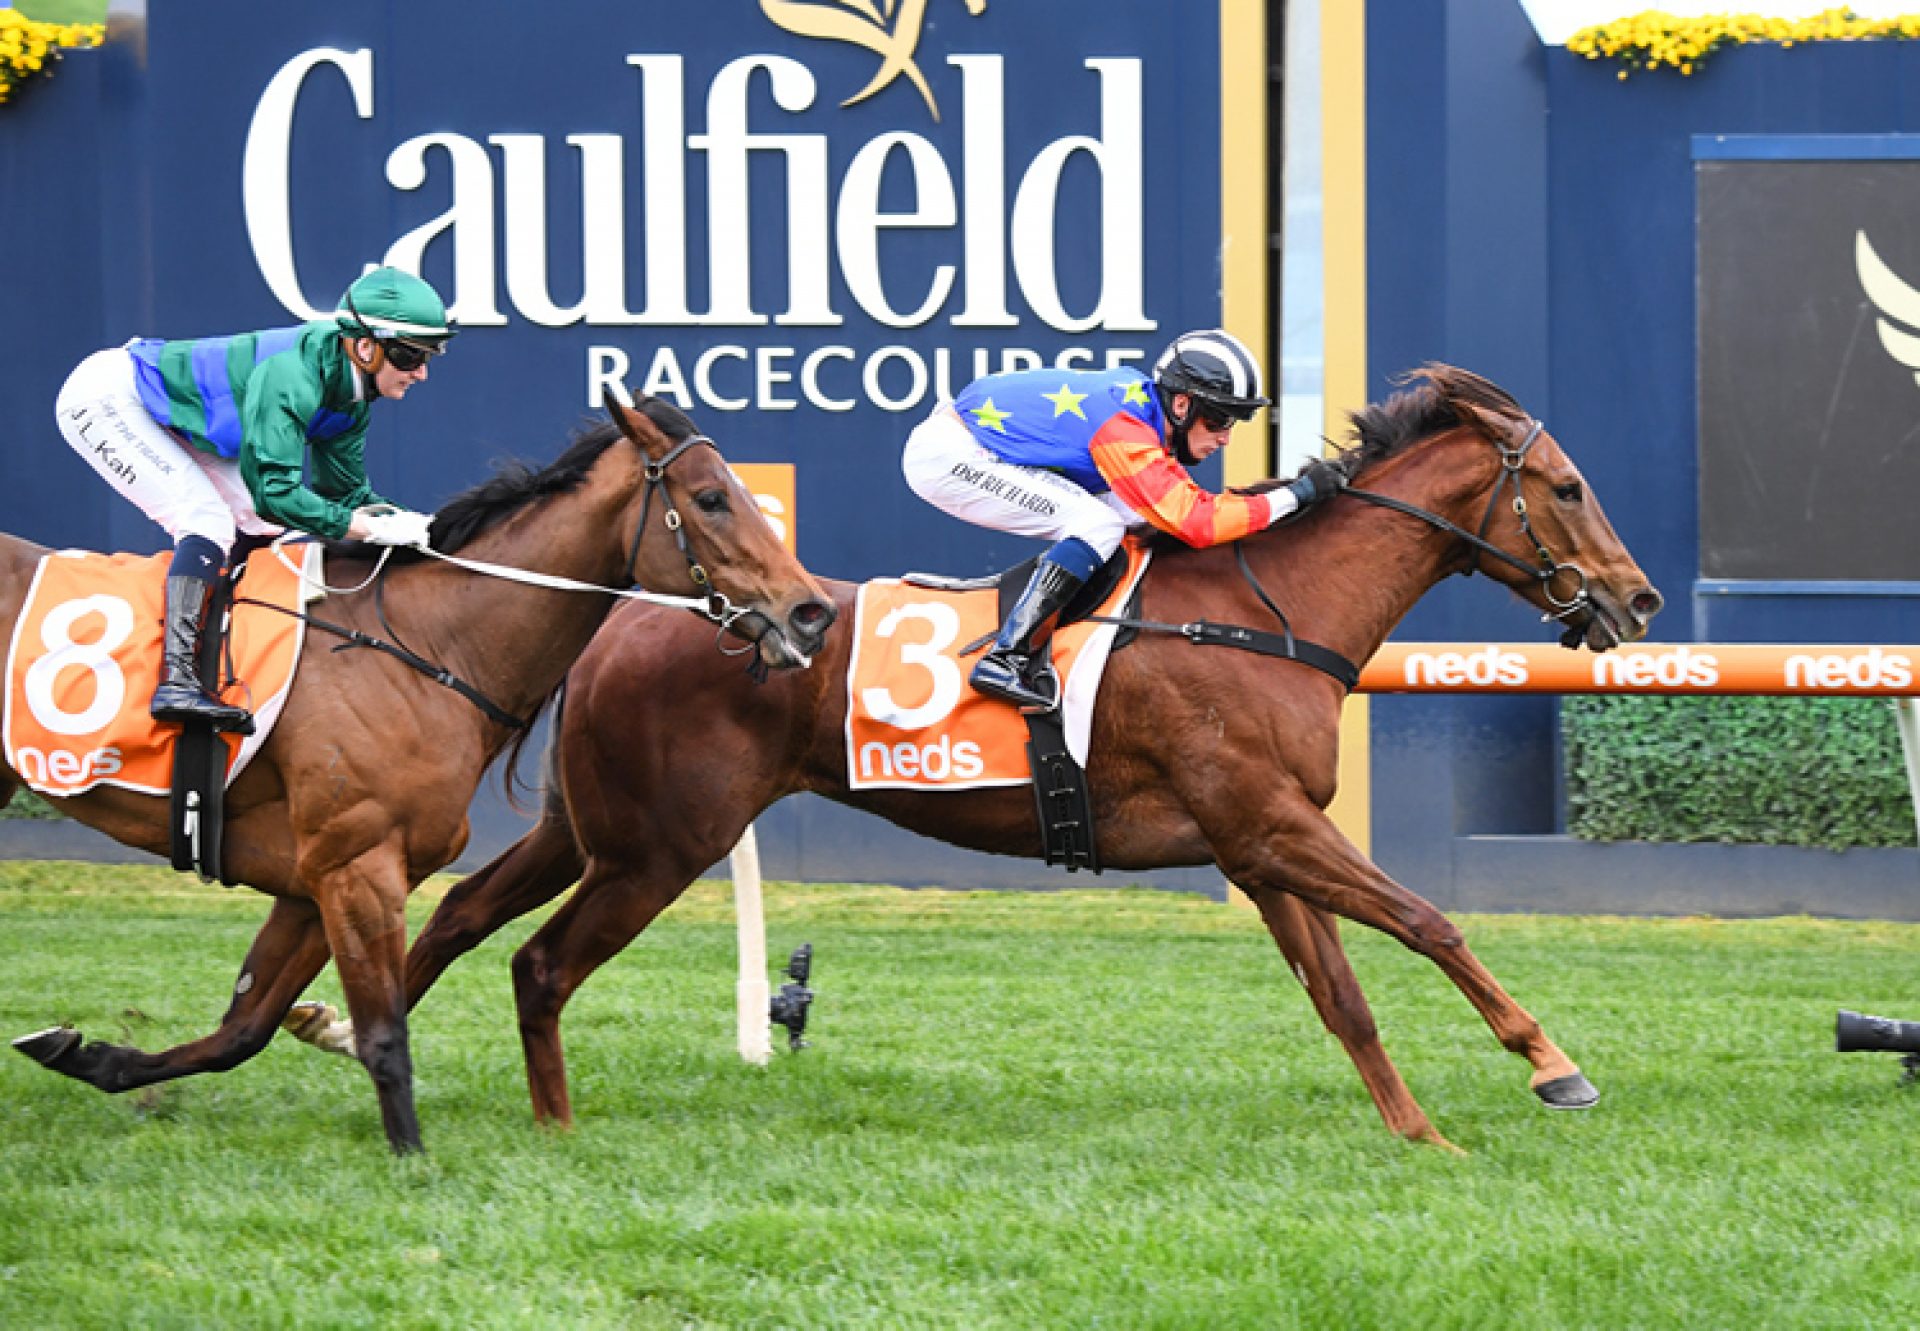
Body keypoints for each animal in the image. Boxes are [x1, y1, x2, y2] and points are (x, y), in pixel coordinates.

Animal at [5, 391, 833, 1152]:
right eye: (712, 497)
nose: (812, 611)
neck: (427, 646)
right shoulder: (359, 868)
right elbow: (382, 1034)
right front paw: (412, 1161)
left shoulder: (313, 880)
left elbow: (245, 1026)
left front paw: (90, 1055)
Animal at [291, 366, 1658, 1152]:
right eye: (1569, 486)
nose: (1638, 599)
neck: (1265, 612)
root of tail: (634, 612)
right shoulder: (1271, 825)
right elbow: (1430, 919)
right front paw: (1555, 1067)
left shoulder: (1258, 843)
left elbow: (1345, 996)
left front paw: (1420, 1133)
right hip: (660, 844)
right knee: (537, 960)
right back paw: (533, 1120)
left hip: (594, 823)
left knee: (458, 912)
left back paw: (329, 1029)